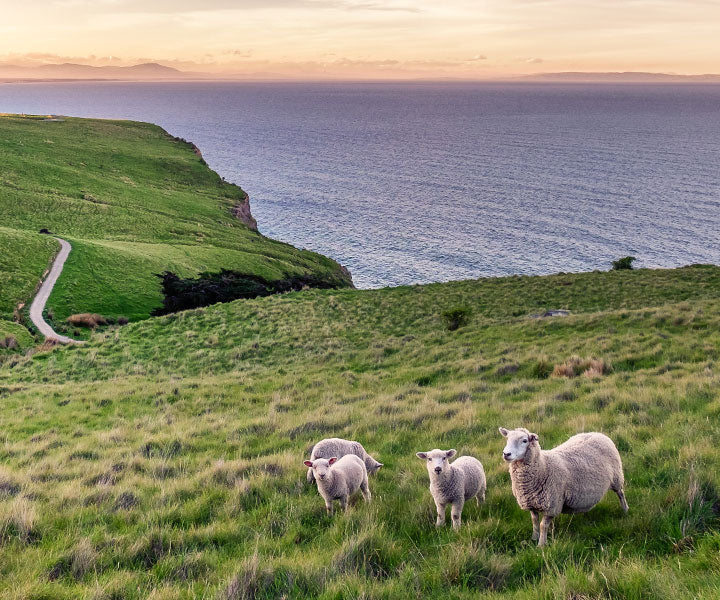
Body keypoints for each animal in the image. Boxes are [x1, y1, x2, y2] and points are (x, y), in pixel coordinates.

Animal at [498, 424, 628, 548]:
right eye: (507, 439)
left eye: (524, 440)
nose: (506, 454)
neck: (543, 466)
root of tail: (598, 433)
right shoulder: (532, 503)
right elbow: (534, 522)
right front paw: (534, 538)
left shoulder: (552, 505)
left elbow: (542, 525)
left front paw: (541, 545)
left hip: (616, 477)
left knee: (620, 493)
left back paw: (625, 510)